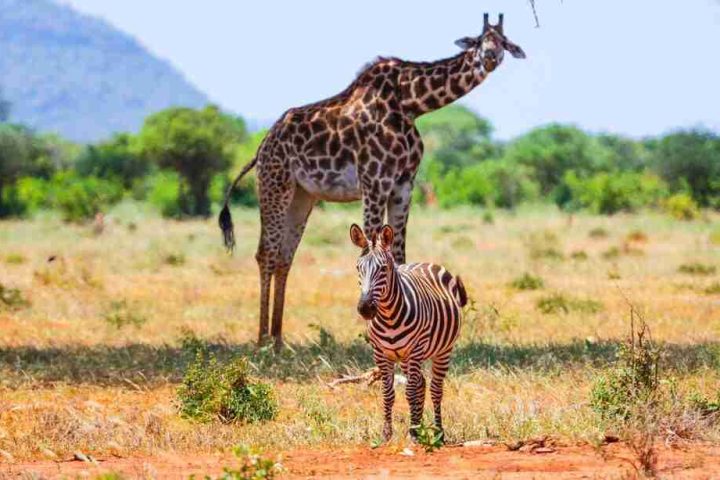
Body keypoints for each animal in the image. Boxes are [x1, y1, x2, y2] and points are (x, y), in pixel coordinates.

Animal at [219, 13, 525, 348]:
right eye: (481, 40)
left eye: (504, 42)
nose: (490, 57)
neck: (411, 103)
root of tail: (261, 147)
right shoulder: (375, 181)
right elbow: (370, 247)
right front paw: (372, 330)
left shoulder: (404, 184)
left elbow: (398, 254)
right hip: (275, 184)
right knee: (267, 253)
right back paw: (262, 339)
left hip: (302, 196)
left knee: (285, 256)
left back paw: (278, 339)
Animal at [349, 223, 467, 442]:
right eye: (358, 268)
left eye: (383, 269)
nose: (365, 309)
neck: (388, 317)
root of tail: (425, 263)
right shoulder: (380, 353)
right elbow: (388, 393)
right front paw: (387, 434)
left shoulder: (415, 349)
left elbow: (410, 392)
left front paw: (412, 432)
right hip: (404, 356)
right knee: (421, 383)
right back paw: (420, 428)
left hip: (442, 351)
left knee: (435, 389)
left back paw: (437, 432)